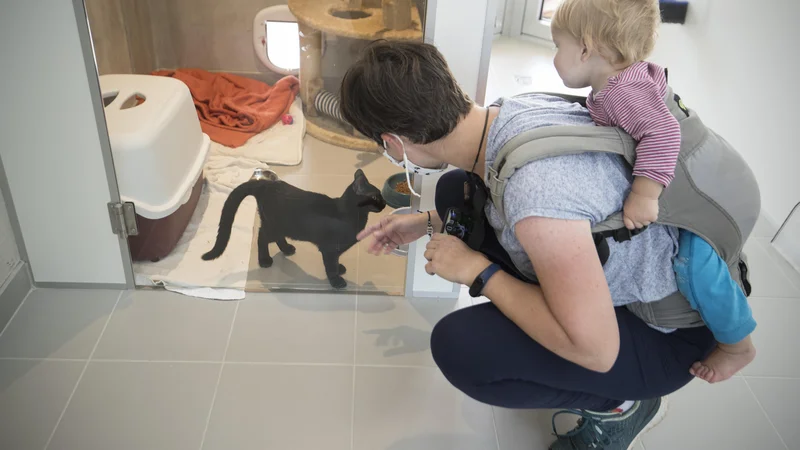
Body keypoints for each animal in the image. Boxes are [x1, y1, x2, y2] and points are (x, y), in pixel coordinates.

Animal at [202, 168, 386, 288]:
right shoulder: (329, 249)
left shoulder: (335, 250)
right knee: (262, 237)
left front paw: (340, 269)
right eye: (376, 197)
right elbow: (331, 266)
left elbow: (336, 262)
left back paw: (287, 249)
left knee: (273, 237)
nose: (385, 202)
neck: (348, 215)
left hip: (279, 225)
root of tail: (265, 184)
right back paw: (264, 260)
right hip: (275, 225)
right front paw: (336, 281)